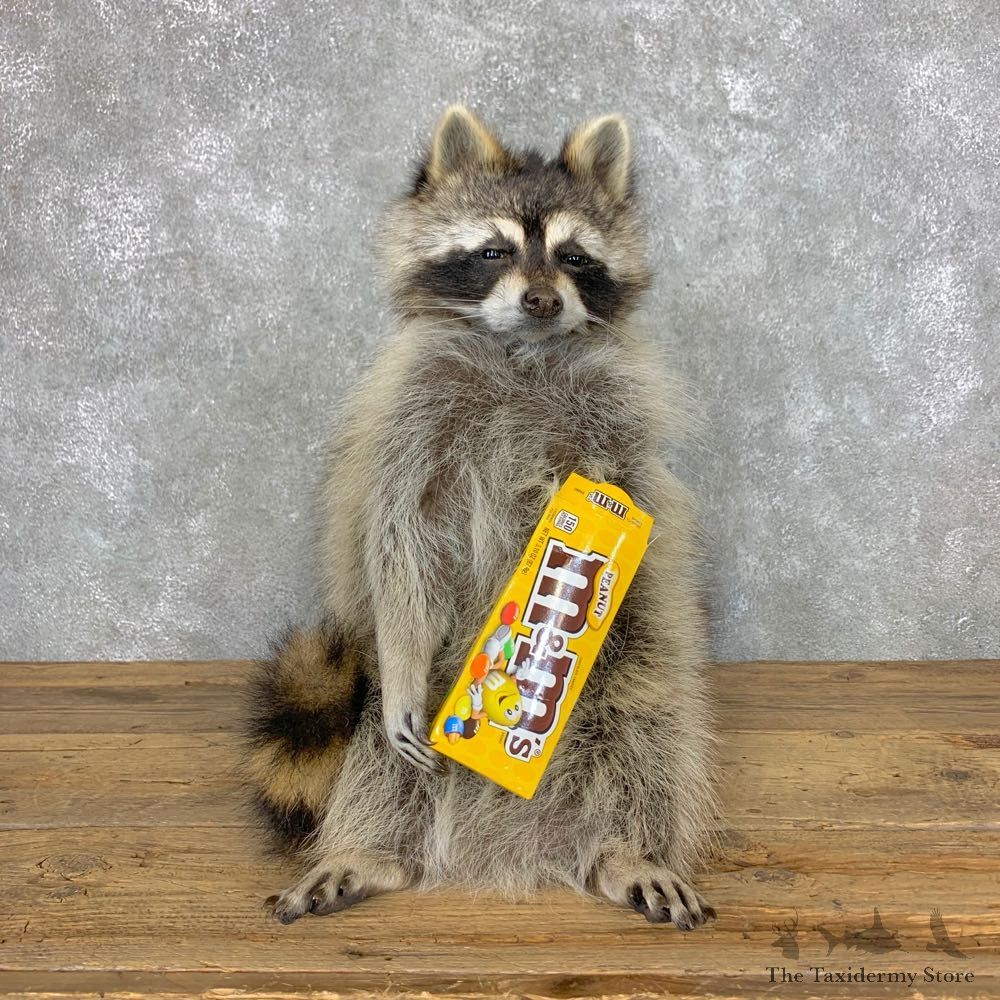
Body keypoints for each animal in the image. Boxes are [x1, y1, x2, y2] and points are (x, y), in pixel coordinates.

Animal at [243, 106, 719, 930]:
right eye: (494, 250)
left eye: (573, 257)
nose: (542, 301)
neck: (521, 349)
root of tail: (514, 854)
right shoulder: (411, 420)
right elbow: (399, 538)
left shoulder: (618, 424)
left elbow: (635, 506)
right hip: (400, 692)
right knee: (379, 754)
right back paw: (372, 850)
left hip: (638, 660)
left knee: (649, 727)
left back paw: (628, 850)